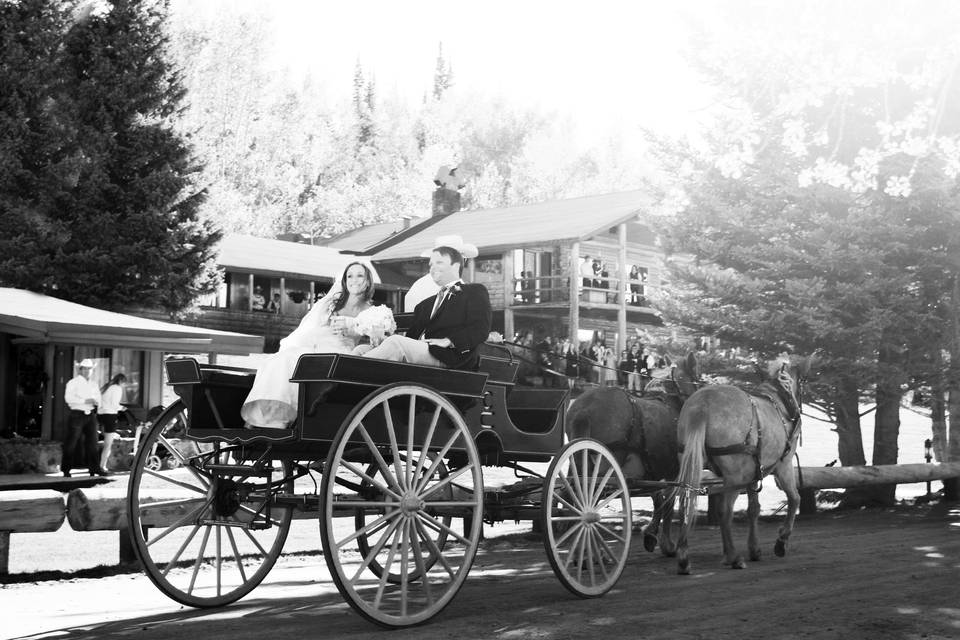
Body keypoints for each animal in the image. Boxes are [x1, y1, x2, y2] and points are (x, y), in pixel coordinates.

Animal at [568, 352, 700, 556]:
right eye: (696, 374)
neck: (671, 402)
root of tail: (584, 409)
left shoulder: (650, 472)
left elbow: (658, 500)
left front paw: (651, 535)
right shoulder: (673, 472)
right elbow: (668, 503)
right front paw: (667, 544)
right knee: (590, 500)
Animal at [676, 360, 808, 576]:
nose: (797, 411)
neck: (778, 400)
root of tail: (703, 403)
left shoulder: (754, 473)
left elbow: (753, 508)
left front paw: (754, 549)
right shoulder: (784, 465)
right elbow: (794, 498)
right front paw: (781, 541)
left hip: (691, 464)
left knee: (685, 504)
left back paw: (683, 558)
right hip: (735, 476)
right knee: (725, 510)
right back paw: (733, 557)